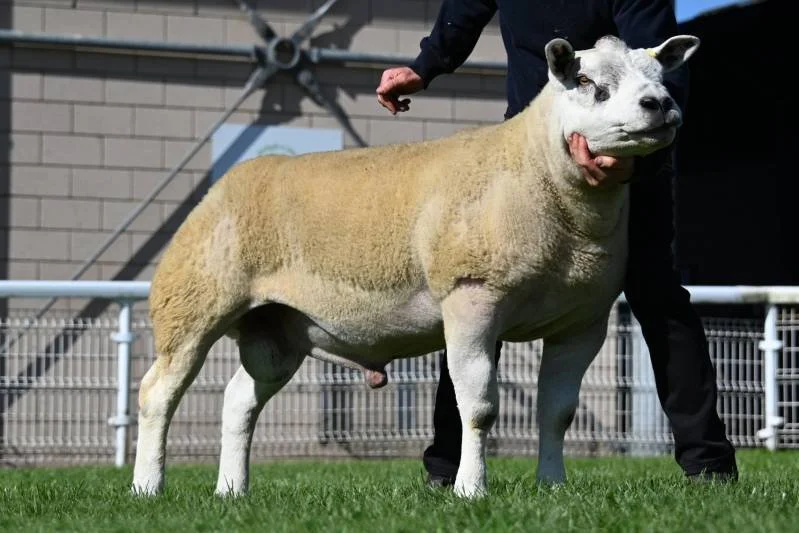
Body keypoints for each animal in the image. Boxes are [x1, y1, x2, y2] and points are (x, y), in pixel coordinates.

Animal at [132, 34, 700, 499]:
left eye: (660, 76)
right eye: (587, 83)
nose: (660, 105)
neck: (536, 172)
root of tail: (229, 181)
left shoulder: (582, 321)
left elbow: (557, 413)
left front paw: (553, 486)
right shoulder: (472, 296)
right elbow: (479, 407)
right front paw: (471, 490)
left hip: (276, 328)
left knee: (238, 401)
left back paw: (232, 491)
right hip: (193, 301)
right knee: (158, 394)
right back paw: (147, 487)